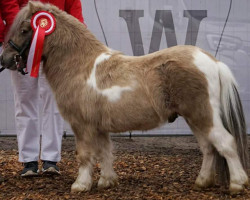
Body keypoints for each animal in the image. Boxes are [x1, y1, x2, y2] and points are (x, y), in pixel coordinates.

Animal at [0, 1, 249, 195]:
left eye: (25, 30)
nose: (5, 59)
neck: (81, 66)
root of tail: (213, 61)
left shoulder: (82, 125)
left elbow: (85, 155)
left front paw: (81, 185)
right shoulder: (99, 127)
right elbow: (105, 152)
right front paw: (107, 181)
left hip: (202, 115)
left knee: (225, 143)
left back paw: (237, 184)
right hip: (194, 118)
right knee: (208, 148)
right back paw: (202, 182)